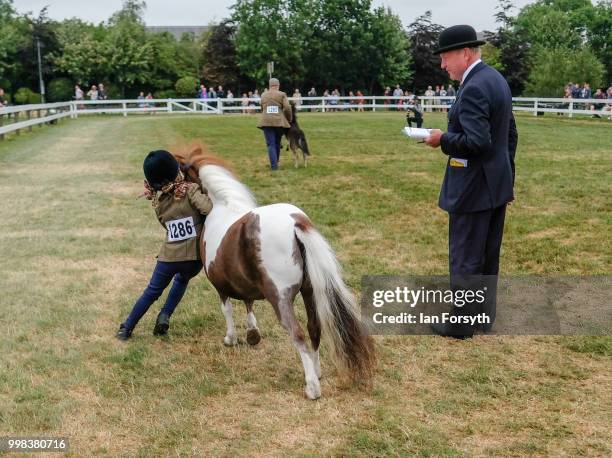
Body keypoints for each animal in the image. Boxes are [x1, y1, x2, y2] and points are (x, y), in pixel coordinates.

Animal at [171, 141, 372, 398]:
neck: (223, 206)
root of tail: (296, 223)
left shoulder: (221, 287)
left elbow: (227, 310)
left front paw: (231, 338)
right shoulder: (245, 283)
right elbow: (248, 304)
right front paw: (252, 334)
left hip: (281, 299)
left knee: (298, 334)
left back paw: (312, 387)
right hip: (309, 292)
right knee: (314, 328)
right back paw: (317, 373)